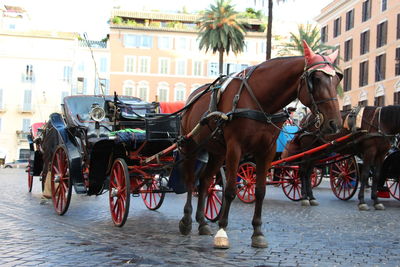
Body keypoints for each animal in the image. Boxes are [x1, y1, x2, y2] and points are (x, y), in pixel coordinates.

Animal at [180, 41, 342, 249]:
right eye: (316, 78)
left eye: (337, 79)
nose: (334, 123)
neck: (260, 101)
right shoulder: (235, 148)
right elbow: (230, 190)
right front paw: (222, 232)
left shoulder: (266, 151)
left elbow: (260, 191)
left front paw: (257, 232)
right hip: (191, 146)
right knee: (190, 180)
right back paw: (186, 220)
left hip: (217, 152)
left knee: (205, 182)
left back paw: (202, 222)